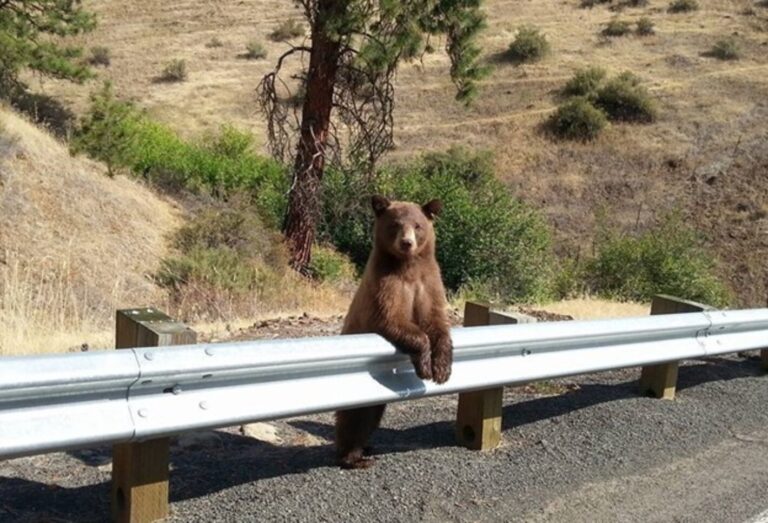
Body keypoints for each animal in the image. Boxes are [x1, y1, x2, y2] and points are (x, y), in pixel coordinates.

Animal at [334, 194, 454, 469]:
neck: (408, 267)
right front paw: (425, 366)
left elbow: (436, 320)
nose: (407, 243)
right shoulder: (385, 284)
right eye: (395, 224)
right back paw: (352, 457)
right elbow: (392, 319)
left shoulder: (428, 282)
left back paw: (366, 447)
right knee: (353, 419)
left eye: (418, 225)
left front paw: (442, 369)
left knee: (371, 418)